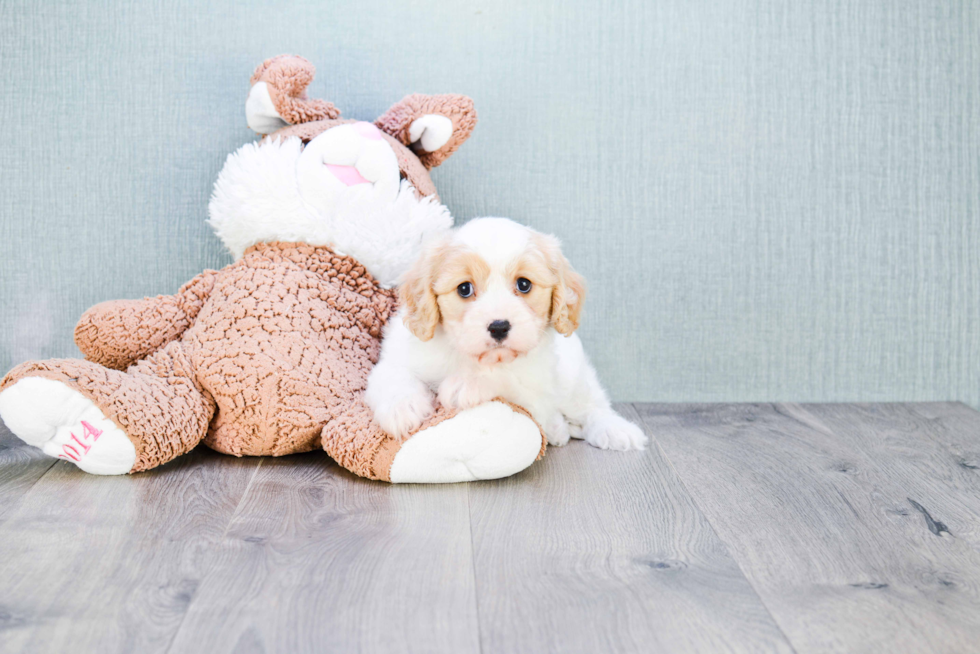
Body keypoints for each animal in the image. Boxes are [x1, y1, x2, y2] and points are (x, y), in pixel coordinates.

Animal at [364, 218, 648, 454]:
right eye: (464, 289)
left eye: (524, 284)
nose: (499, 327)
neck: (466, 355)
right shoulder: (400, 355)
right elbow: (393, 376)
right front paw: (402, 410)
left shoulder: (535, 390)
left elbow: (506, 378)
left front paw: (468, 382)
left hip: (575, 380)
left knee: (592, 407)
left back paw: (616, 430)